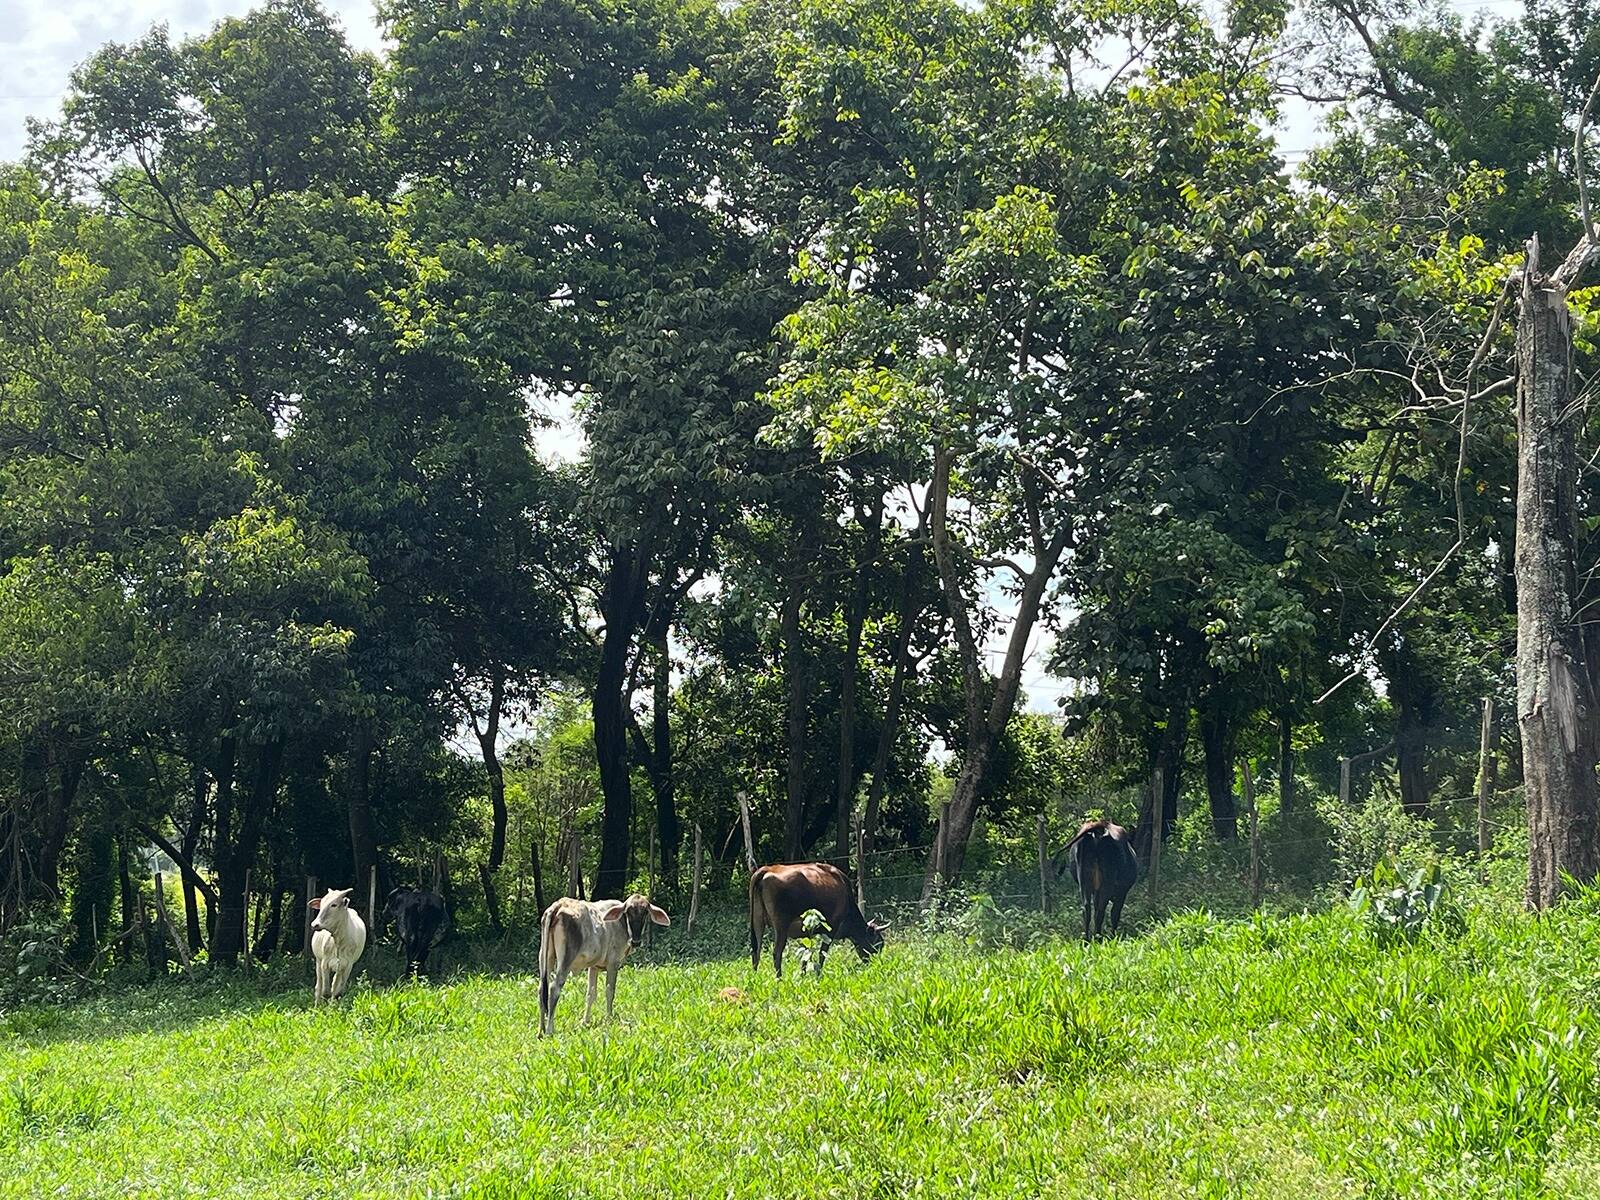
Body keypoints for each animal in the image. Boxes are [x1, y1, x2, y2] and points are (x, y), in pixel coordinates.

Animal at [534, 896, 665, 1036]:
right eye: (628, 912)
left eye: (645, 912)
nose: (636, 941)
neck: (621, 923)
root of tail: (558, 905)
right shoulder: (613, 964)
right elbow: (610, 991)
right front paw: (609, 1018)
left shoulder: (594, 967)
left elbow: (591, 994)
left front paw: (585, 1022)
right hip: (565, 960)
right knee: (554, 989)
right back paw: (549, 1030)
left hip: (546, 957)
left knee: (542, 989)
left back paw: (540, 1031)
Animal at [748, 864, 889, 979]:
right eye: (878, 944)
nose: (875, 965)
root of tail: (767, 869)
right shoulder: (831, 929)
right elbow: (822, 954)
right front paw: (818, 975)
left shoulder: (805, 932)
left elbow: (805, 954)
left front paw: (803, 975)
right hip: (781, 926)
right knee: (776, 953)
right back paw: (779, 979)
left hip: (757, 922)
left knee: (756, 952)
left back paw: (755, 977)